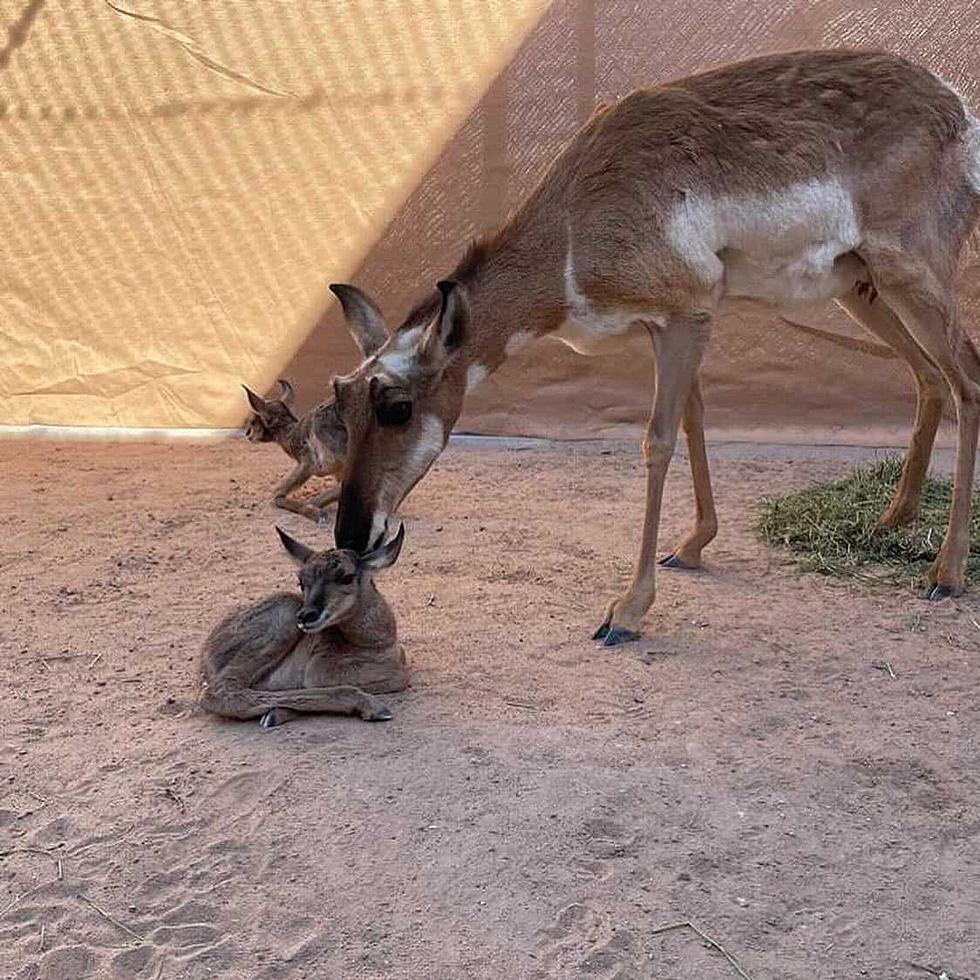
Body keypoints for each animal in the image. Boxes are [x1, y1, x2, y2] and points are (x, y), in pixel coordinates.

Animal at [328, 47, 980, 644]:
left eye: (398, 407)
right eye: (342, 404)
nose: (349, 536)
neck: (575, 219)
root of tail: (952, 103)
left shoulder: (686, 316)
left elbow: (658, 440)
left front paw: (628, 610)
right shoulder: (667, 325)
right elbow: (693, 417)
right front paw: (692, 544)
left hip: (909, 278)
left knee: (966, 379)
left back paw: (945, 573)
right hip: (862, 289)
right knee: (928, 376)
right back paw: (893, 519)